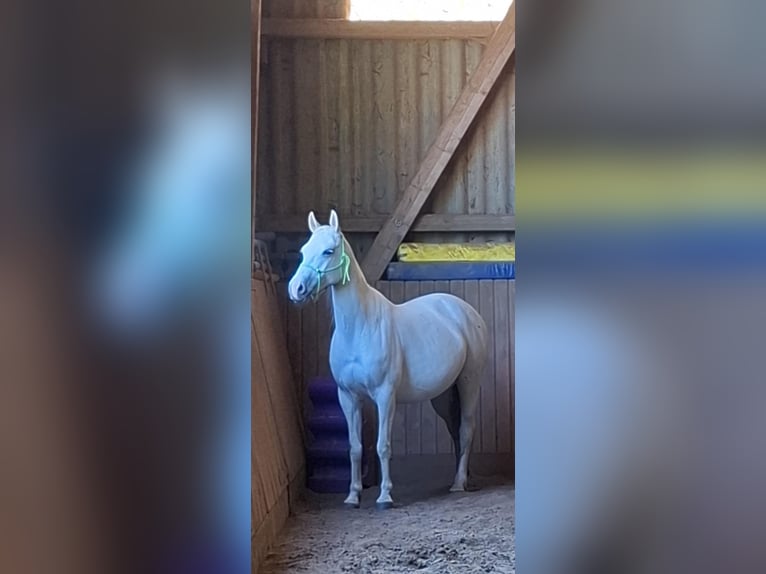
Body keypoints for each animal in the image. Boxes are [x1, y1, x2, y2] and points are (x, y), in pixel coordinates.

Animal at [288, 210, 489, 509]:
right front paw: (352, 496)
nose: (296, 289)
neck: (360, 328)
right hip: (442, 395)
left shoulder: (385, 396)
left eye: (328, 251)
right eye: (303, 251)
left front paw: (385, 496)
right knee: (455, 431)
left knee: (466, 428)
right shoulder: (347, 397)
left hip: (469, 382)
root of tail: (464, 310)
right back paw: (461, 479)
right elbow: (354, 448)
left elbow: (383, 445)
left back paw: (458, 484)